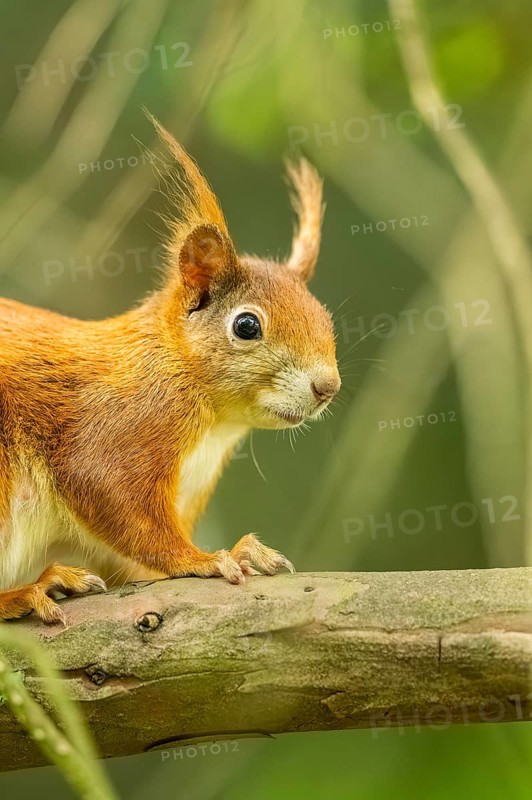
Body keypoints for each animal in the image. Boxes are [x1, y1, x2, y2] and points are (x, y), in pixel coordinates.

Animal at [0, 119, 340, 624]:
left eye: (326, 317)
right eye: (246, 325)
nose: (327, 386)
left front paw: (245, 550)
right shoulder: (127, 424)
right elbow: (118, 501)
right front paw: (209, 558)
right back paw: (29, 590)